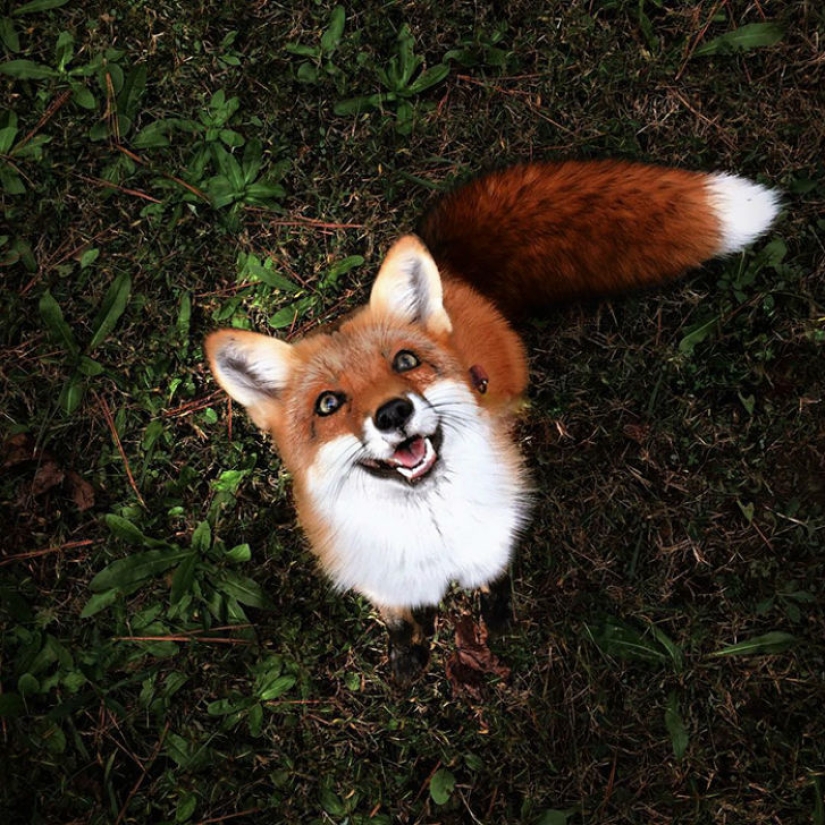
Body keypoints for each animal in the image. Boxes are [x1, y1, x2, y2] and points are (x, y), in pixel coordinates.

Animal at [205, 160, 779, 681]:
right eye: (328, 404)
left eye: (405, 362)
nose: (394, 412)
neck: (433, 532)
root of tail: (453, 273)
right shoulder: (381, 580)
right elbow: (399, 622)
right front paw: (408, 656)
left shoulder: (494, 539)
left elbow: (496, 580)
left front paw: (497, 618)